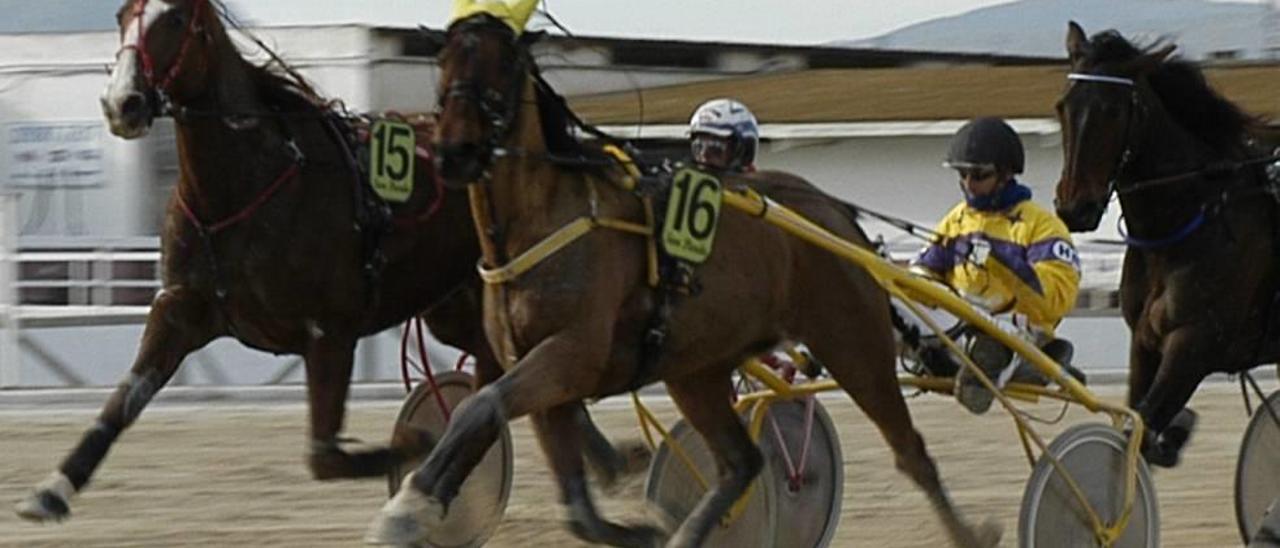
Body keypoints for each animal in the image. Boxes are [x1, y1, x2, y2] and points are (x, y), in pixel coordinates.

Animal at [13, 0, 640, 524]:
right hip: (454, 308)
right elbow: (120, 404)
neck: (244, 186)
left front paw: (416, 449)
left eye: (177, 20)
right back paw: (611, 462)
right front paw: (51, 489)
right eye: (123, 14)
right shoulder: (180, 309)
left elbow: (325, 455)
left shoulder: (330, 332)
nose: (123, 102)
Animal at [363, 9, 998, 548]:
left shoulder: (570, 355)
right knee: (741, 462)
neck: (540, 222)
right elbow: (574, 506)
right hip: (697, 369)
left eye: (503, 63)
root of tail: (834, 212)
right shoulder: (546, 378)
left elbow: (478, 407)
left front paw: (407, 508)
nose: (456, 150)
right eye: (445, 61)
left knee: (911, 452)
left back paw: (972, 531)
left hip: (851, 342)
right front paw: (647, 524)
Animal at [1049, 21, 1280, 466]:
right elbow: (1136, 426)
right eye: (1063, 106)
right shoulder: (1144, 341)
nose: (1075, 207)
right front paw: (1171, 437)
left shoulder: (1193, 345)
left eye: (1113, 110)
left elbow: (1141, 425)